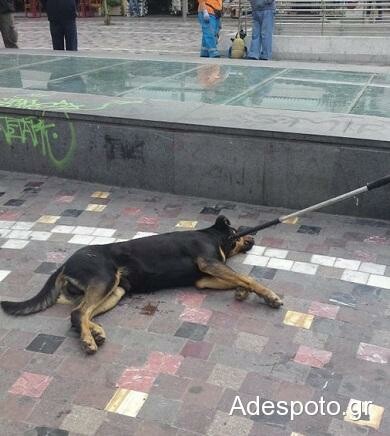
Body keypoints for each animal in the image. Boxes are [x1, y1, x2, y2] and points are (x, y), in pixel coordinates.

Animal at [0, 215, 282, 354]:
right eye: (240, 231)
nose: (254, 237)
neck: (214, 236)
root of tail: (64, 264)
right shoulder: (209, 263)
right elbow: (248, 277)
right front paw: (269, 296)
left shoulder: (203, 278)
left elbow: (238, 280)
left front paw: (242, 290)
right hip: (105, 279)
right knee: (79, 312)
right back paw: (89, 340)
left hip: (116, 290)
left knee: (79, 314)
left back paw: (95, 332)